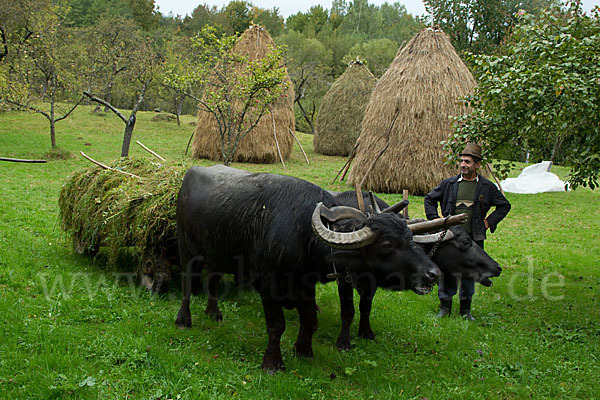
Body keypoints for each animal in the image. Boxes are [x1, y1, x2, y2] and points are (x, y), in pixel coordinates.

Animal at [173, 166, 440, 372]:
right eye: (387, 245)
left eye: (411, 238)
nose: (433, 274)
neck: (302, 234)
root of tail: (190, 173)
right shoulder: (268, 287)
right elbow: (277, 325)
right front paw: (273, 363)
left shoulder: (305, 284)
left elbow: (311, 319)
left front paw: (303, 351)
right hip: (186, 249)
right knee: (186, 283)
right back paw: (183, 319)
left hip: (216, 253)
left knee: (213, 278)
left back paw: (214, 313)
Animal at [332, 191, 502, 350]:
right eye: (466, 241)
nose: (497, 267)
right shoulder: (343, 277)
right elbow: (348, 310)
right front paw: (343, 341)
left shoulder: (372, 282)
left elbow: (366, 306)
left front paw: (366, 333)